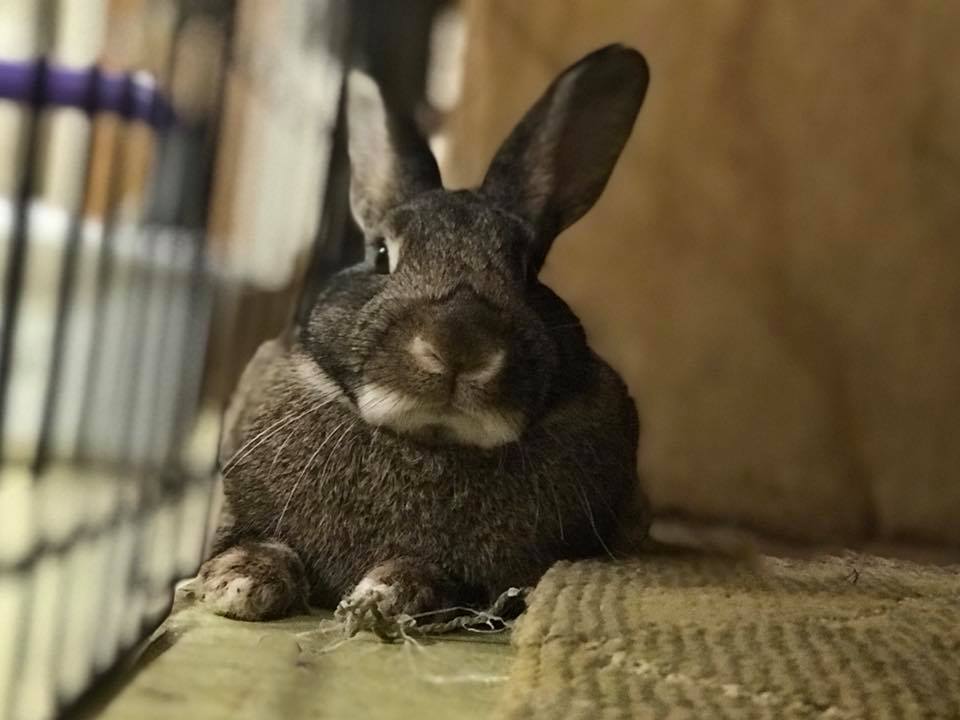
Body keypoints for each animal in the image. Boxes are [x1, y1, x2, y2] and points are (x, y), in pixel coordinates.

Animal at [197, 44, 651, 621]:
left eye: (529, 270)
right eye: (381, 255)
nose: (458, 347)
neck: (430, 442)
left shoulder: (496, 584)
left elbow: (443, 580)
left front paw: (385, 595)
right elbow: (262, 543)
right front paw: (240, 582)